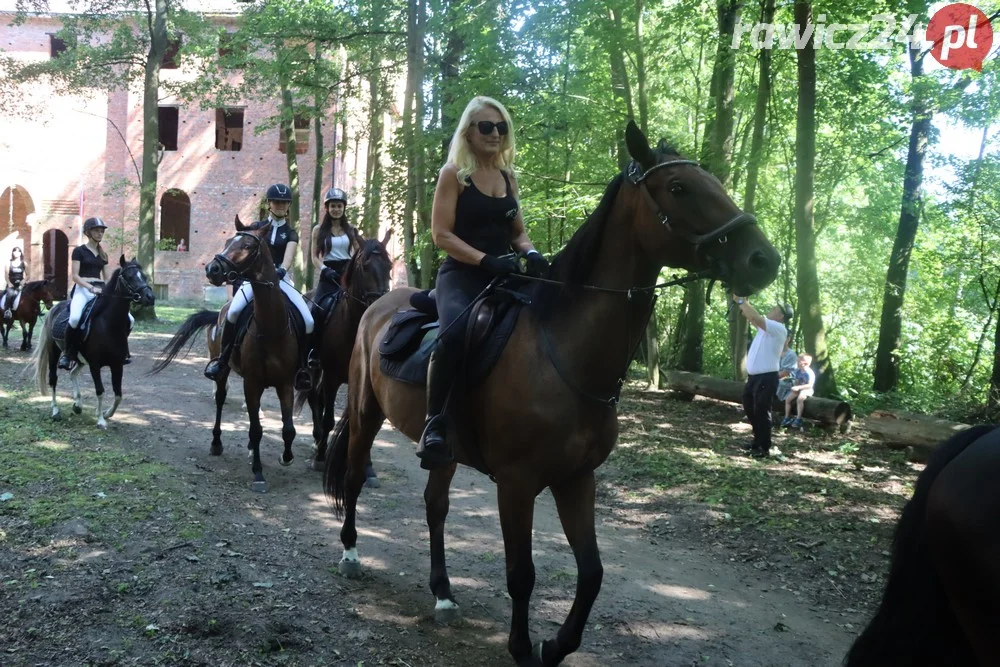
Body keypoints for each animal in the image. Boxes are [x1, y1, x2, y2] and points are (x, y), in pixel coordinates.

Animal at [150, 217, 300, 494]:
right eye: (228, 240)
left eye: (248, 246)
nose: (212, 269)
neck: (270, 326)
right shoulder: (252, 382)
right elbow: (256, 429)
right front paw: (258, 474)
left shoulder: (285, 383)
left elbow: (287, 428)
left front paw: (286, 457)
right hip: (224, 371)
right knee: (221, 400)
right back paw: (217, 443)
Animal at [298, 235, 392, 470]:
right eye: (365, 266)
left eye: (389, 266)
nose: (379, 303)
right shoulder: (332, 377)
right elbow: (330, 418)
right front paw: (321, 455)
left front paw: (365, 465)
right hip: (315, 368)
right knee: (314, 397)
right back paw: (317, 439)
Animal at [326, 121, 780, 667]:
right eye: (678, 187)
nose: (764, 259)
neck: (561, 348)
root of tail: (376, 307)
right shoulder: (517, 483)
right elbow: (522, 574)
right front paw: (524, 648)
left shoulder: (577, 478)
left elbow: (592, 573)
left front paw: (557, 644)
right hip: (365, 413)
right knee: (354, 477)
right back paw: (351, 553)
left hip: (444, 450)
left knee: (435, 506)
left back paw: (444, 594)